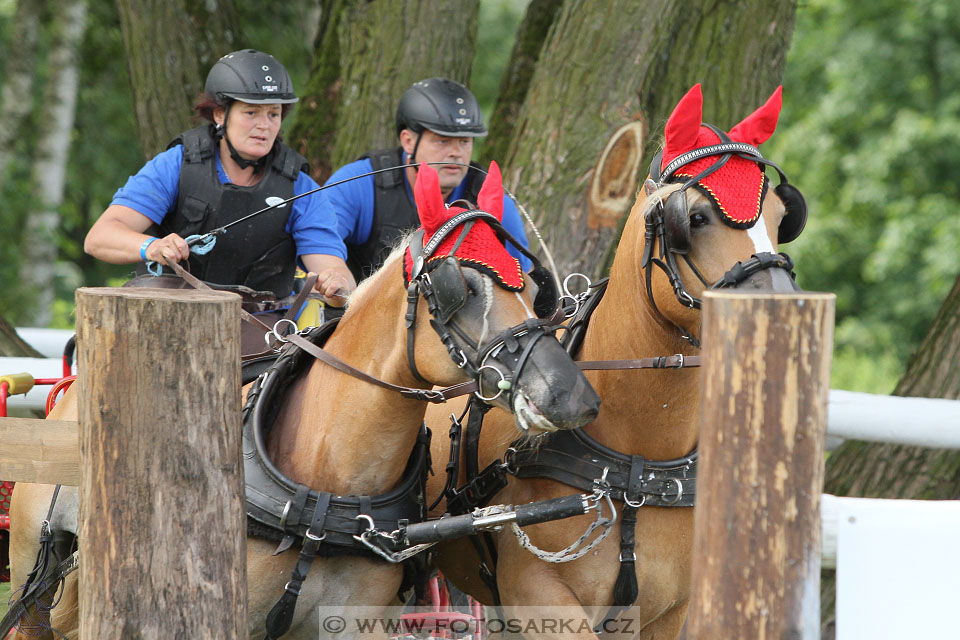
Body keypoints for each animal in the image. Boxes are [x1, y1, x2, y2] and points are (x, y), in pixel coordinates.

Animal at [424, 82, 808, 636]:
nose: (781, 315)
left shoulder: (665, 612)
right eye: (694, 219)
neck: (637, 464)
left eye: (783, 217)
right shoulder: (539, 598)